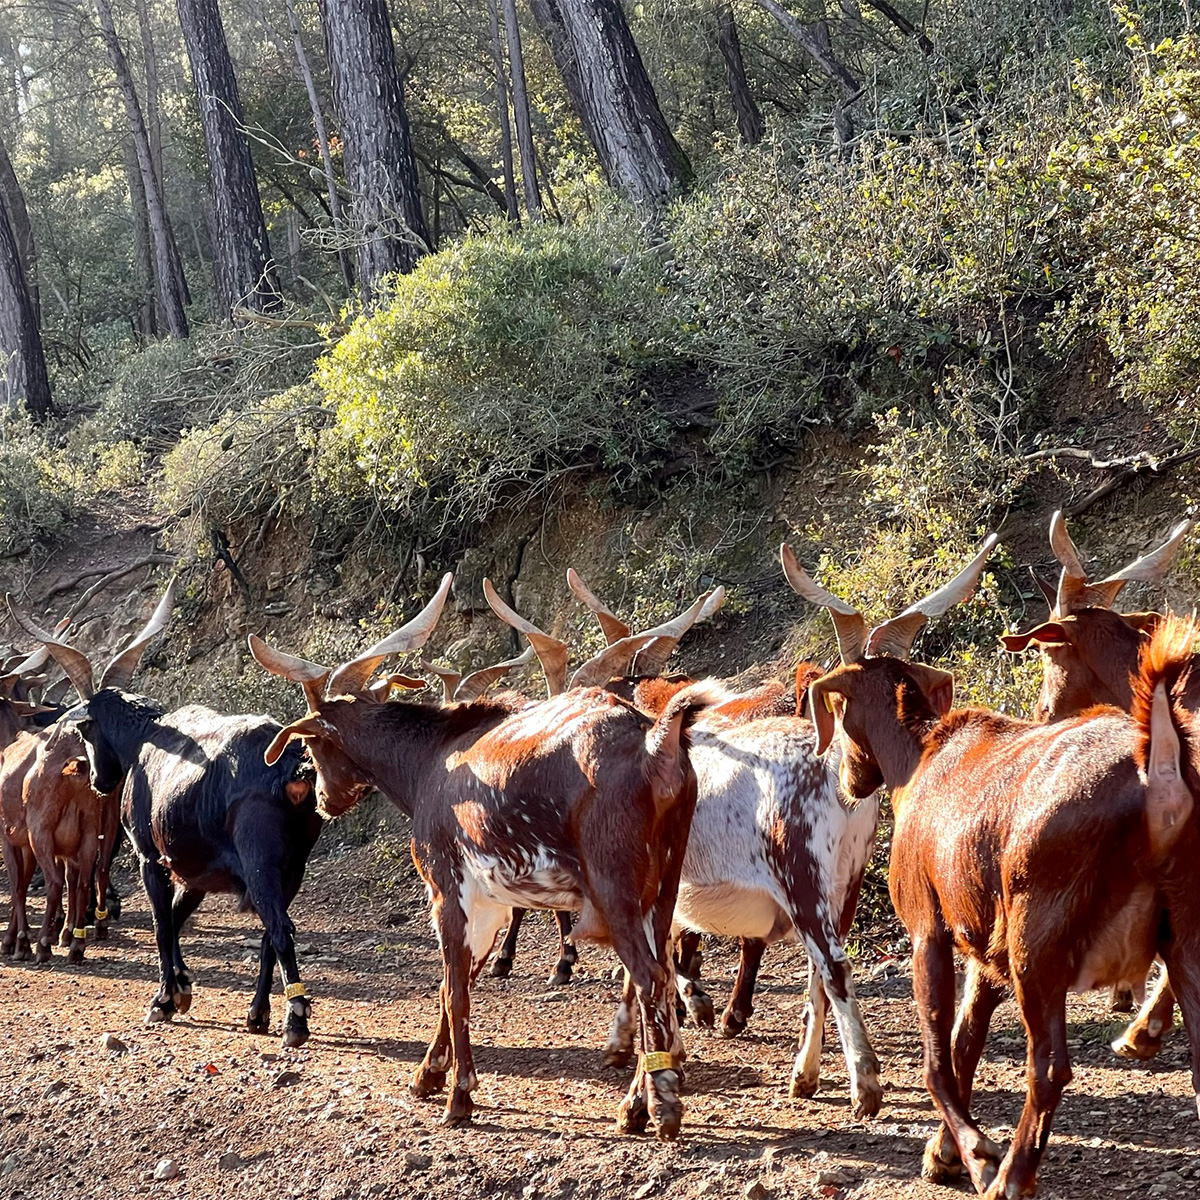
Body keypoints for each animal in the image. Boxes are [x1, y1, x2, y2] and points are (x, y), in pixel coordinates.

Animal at [10, 578, 328, 1041]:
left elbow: (163, 922)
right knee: (272, 932)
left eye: (86, 728)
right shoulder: (195, 870)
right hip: (293, 868)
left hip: (260, 865)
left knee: (280, 927)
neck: (147, 736)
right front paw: (181, 988)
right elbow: (177, 917)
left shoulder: (150, 857)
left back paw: (295, 1018)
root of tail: (290, 763)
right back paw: (258, 1012)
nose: (99, 781)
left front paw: (163, 999)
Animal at [806, 547, 1200, 1200]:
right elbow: (967, 1038)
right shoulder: (985, 941)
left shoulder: (929, 928)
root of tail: (1159, 770)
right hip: (1180, 932)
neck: (920, 758)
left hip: (1037, 942)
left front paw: (975, 1154)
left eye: (835, 705)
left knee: (1050, 1066)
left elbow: (938, 1056)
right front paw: (942, 1153)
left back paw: (1013, 1174)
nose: (847, 780)